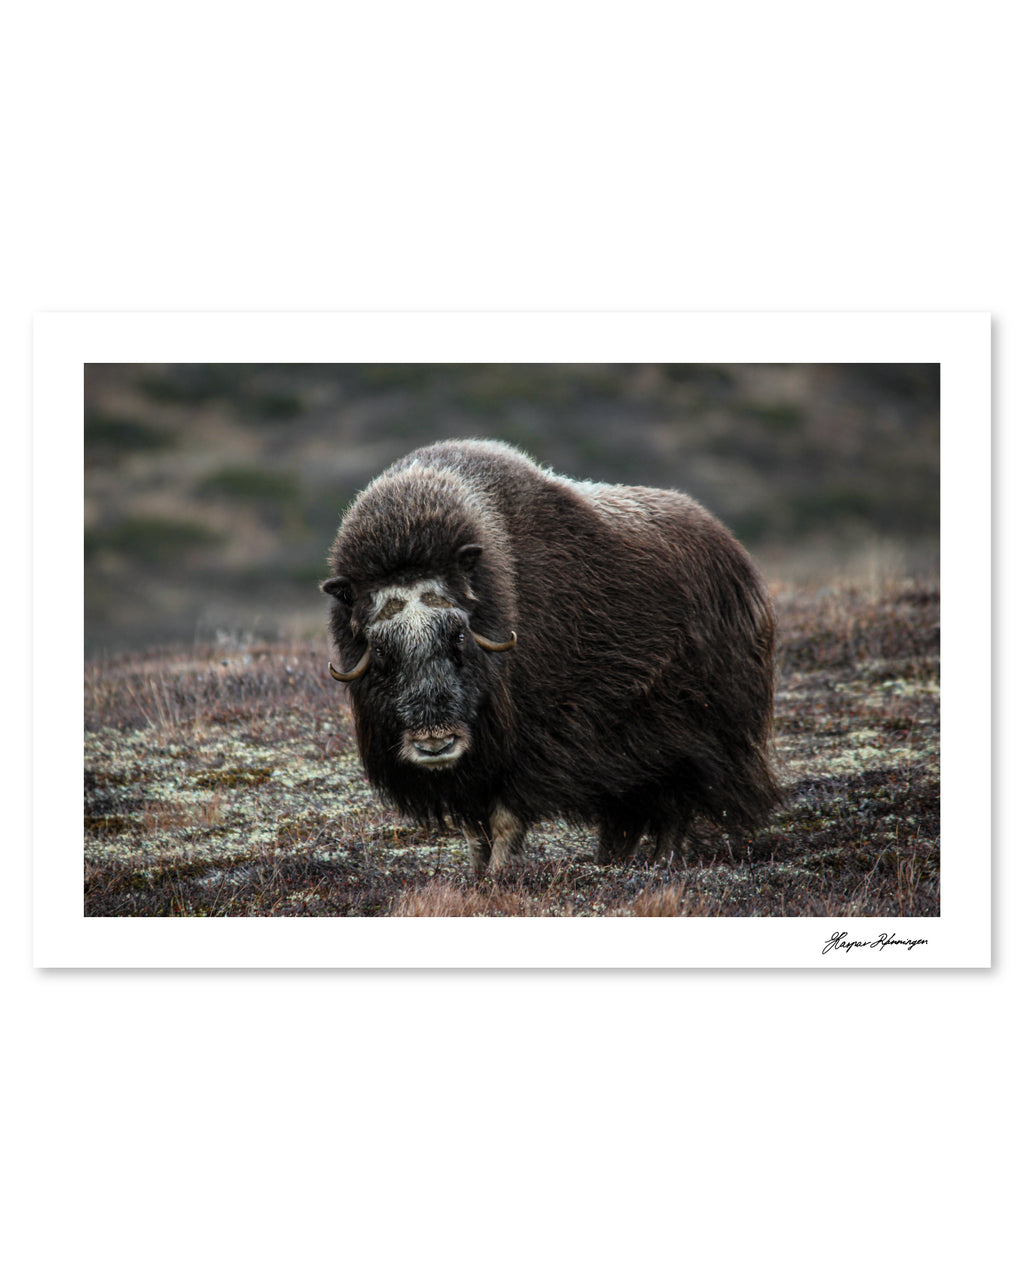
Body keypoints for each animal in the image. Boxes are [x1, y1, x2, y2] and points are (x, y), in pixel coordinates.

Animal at [322, 439, 779, 875]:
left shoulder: (532, 746)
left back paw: (662, 862)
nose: (436, 743)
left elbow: (505, 818)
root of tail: (736, 555)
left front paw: (500, 875)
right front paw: (477, 875)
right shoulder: (473, 770)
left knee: (676, 805)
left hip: (695, 736)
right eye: (382, 650)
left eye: (458, 636)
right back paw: (613, 862)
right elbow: (474, 830)